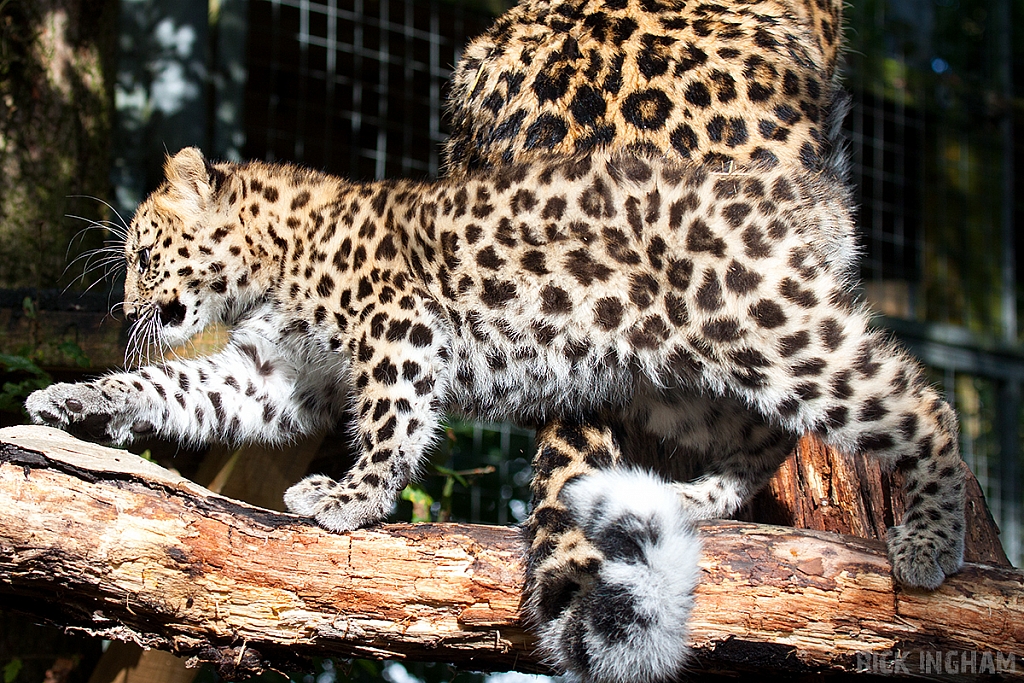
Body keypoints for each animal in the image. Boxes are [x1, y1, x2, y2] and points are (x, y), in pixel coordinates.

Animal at [24, 1, 962, 683]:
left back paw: (929, 539)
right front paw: (73, 399)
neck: (273, 258)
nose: (126, 305)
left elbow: (392, 423)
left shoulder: (398, 327)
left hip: (765, 327)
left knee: (917, 401)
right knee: (764, 432)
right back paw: (696, 496)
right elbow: (174, 390)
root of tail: (798, 195)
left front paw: (351, 498)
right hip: (681, 381)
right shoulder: (275, 373)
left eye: (144, 254)